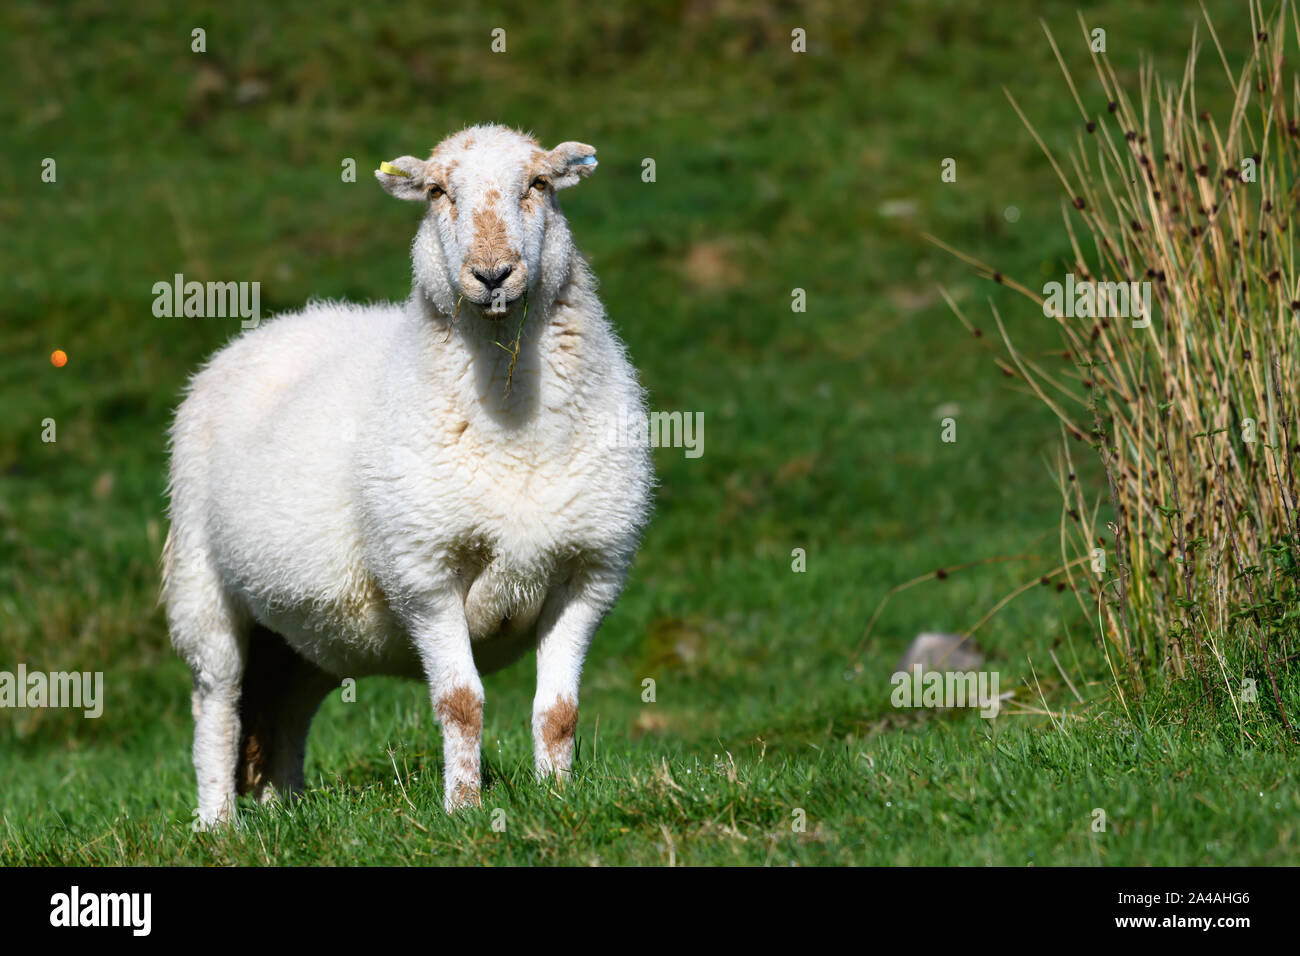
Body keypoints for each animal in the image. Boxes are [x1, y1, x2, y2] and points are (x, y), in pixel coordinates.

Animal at [162, 125, 654, 825]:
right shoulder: (425, 573)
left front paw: (559, 802)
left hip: (308, 629)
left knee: (283, 705)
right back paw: (218, 826)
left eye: (539, 183)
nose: (492, 274)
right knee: (217, 705)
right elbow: (461, 703)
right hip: (202, 582)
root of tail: (275, 325)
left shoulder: (589, 573)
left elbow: (559, 712)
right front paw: (464, 811)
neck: (513, 424)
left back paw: (286, 812)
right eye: (436, 192)